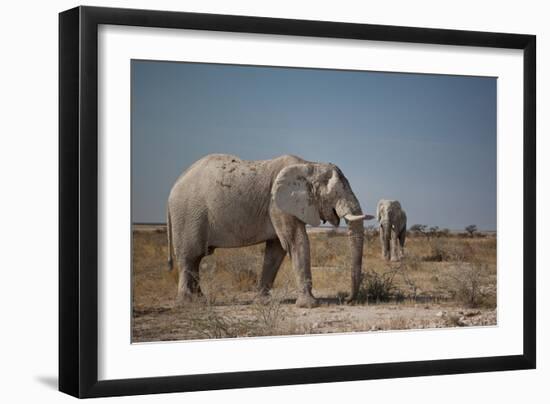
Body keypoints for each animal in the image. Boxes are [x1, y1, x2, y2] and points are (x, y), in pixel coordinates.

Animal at [168, 154, 376, 306]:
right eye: (335, 194)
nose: (347, 299)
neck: (309, 165)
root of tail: (175, 184)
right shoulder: (278, 204)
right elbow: (296, 242)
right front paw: (310, 305)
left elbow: (276, 250)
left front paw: (263, 302)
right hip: (188, 215)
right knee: (189, 257)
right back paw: (188, 304)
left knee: (196, 259)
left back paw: (200, 300)